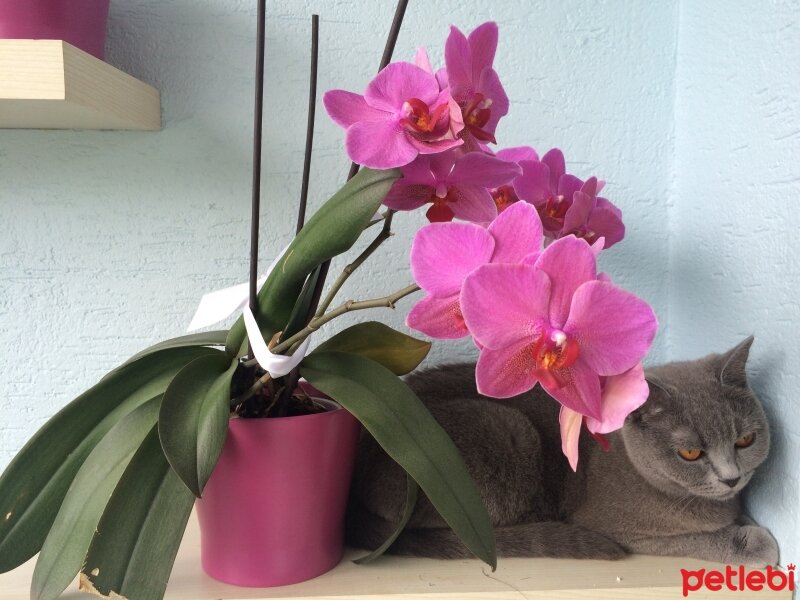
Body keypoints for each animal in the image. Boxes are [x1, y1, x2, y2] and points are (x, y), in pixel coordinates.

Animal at [346, 338, 780, 568]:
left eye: (745, 440)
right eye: (690, 452)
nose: (731, 477)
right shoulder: (621, 528)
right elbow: (700, 538)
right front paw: (754, 541)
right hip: (501, 436)